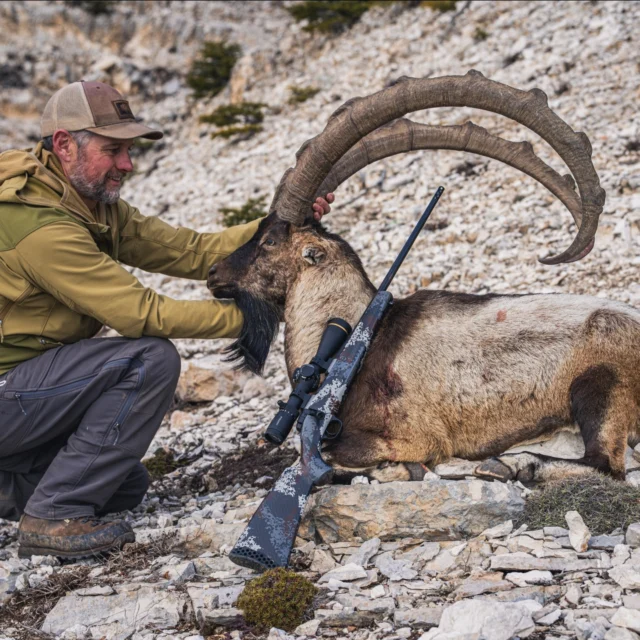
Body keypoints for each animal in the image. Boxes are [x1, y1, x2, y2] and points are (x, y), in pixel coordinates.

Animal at [208, 71, 639, 482]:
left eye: (268, 241)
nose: (214, 273)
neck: (350, 337)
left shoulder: (411, 434)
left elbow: (333, 456)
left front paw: (403, 469)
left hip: (602, 385)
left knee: (606, 464)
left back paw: (506, 465)